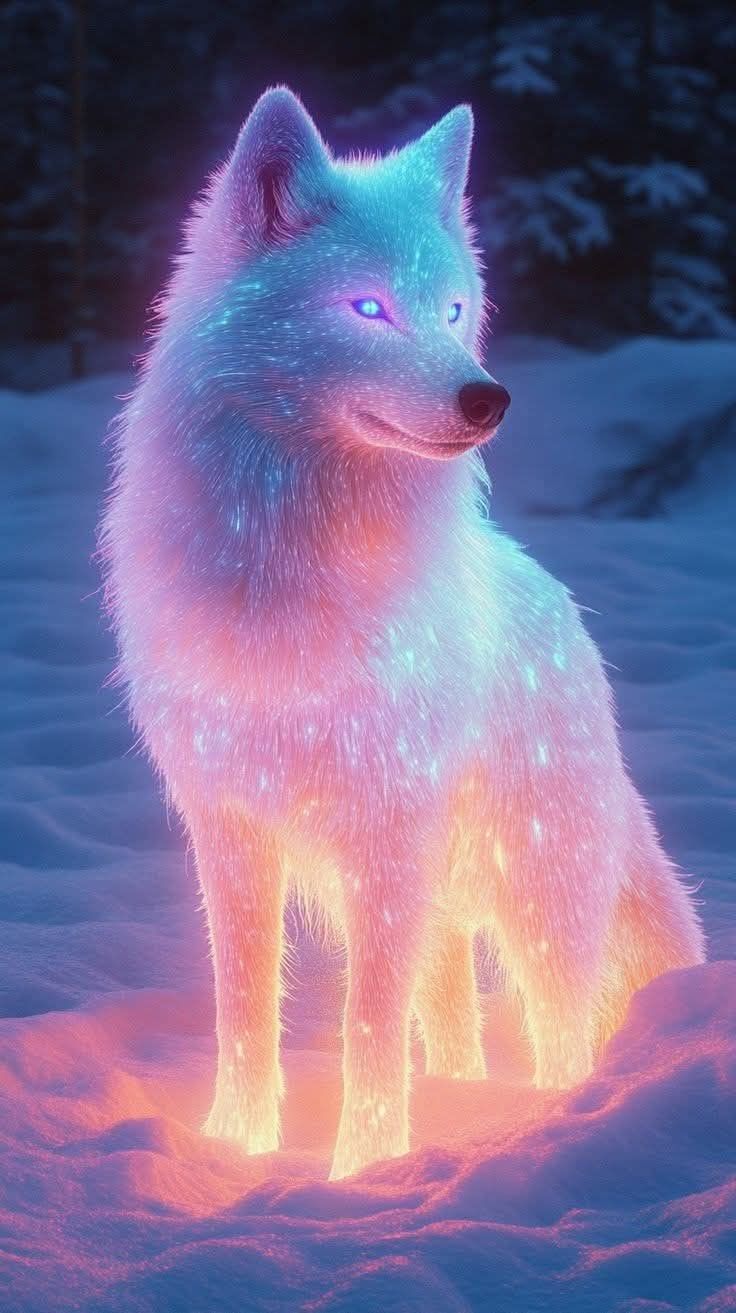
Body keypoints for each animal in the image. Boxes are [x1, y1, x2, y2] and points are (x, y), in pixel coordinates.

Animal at [101, 86, 705, 1180]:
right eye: (370, 308)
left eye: (454, 311)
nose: (488, 397)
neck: (297, 557)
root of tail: (562, 607)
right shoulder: (233, 830)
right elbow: (245, 1012)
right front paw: (235, 1152)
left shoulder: (383, 831)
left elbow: (367, 1029)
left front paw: (362, 1172)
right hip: (439, 896)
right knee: (455, 1022)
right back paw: (467, 1103)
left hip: (530, 893)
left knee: (559, 1028)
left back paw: (549, 1123)